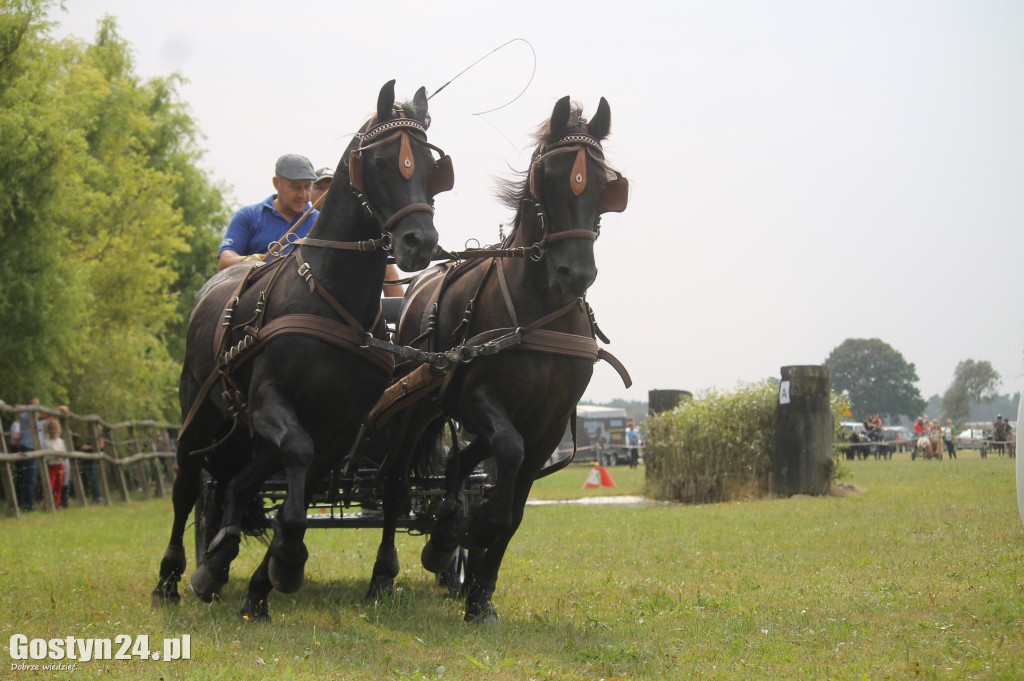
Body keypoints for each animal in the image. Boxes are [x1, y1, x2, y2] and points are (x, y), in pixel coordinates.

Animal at [150, 80, 452, 622]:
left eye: (429, 165)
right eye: (381, 162)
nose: (420, 241)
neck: (329, 296)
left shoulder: (339, 426)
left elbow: (302, 485)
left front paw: (263, 583)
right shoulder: (271, 397)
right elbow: (295, 456)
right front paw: (286, 560)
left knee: (240, 481)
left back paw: (218, 562)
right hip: (200, 409)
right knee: (188, 484)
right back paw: (172, 576)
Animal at [364, 94, 626, 622]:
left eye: (606, 183)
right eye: (549, 176)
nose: (576, 273)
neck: (541, 313)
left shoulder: (548, 424)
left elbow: (516, 505)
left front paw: (480, 590)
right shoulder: (478, 397)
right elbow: (507, 454)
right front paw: (476, 529)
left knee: (460, 462)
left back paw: (446, 536)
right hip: (416, 406)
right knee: (398, 482)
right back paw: (386, 572)